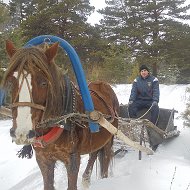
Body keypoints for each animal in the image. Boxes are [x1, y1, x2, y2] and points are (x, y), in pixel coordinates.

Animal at [3, 40, 119, 189]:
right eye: (11, 82)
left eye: (43, 82)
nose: (21, 132)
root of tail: (103, 84)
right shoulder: (43, 160)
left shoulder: (72, 159)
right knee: (94, 153)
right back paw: (86, 179)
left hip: (109, 138)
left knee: (104, 159)